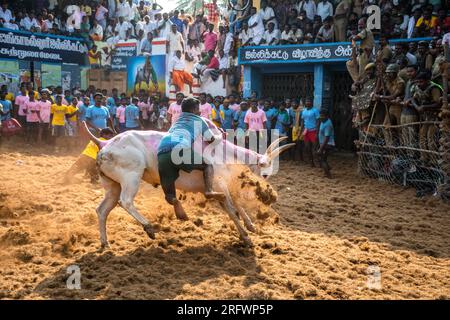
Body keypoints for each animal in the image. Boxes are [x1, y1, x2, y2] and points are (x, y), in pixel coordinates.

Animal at [85, 120, 294, 248]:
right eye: (265, 174)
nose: (269, 194)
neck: (225, 154)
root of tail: (105, 144)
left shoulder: (225, 187)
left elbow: (236, 204)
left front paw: (250, 226)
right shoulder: (218, 187)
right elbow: (231, 209)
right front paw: (246, 237)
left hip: (112, 185)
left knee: (102, 210)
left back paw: (105, 243)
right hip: (131, 177)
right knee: (125, 201)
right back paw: (149, 227)